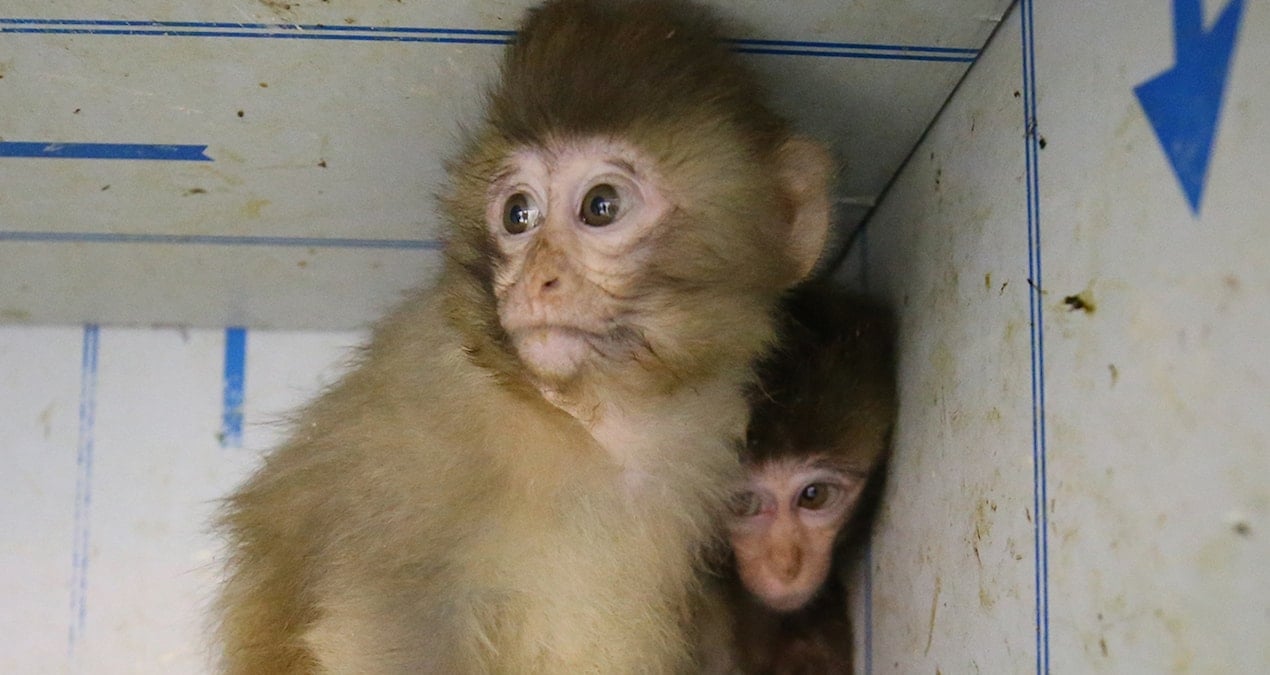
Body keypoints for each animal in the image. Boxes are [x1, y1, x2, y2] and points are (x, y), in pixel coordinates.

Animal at [217, 1, 833, 675]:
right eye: (518, 215)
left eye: (601, 205)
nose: (538, 279)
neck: (590, 423)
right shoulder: (419, 430)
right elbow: (382, 622)